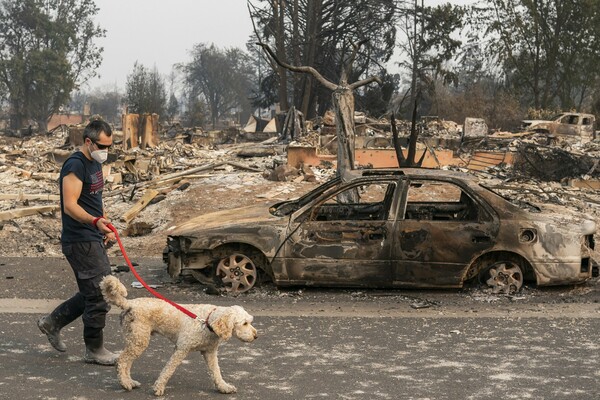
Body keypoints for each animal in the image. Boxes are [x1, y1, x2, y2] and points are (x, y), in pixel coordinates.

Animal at [99, 276, 258, 396]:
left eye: (250, 321)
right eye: (244, 323)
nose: (256, 336)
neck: (207, 322)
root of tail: (129, 303)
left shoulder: (210, 353)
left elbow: (216, 372)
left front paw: (224, 387)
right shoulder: (181, 349)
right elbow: (168, 370)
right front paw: (159, 387)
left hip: (135, 340)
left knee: (126, 363)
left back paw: (129, 382)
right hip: (139, 341)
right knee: (121, 361)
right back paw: (125, 383)